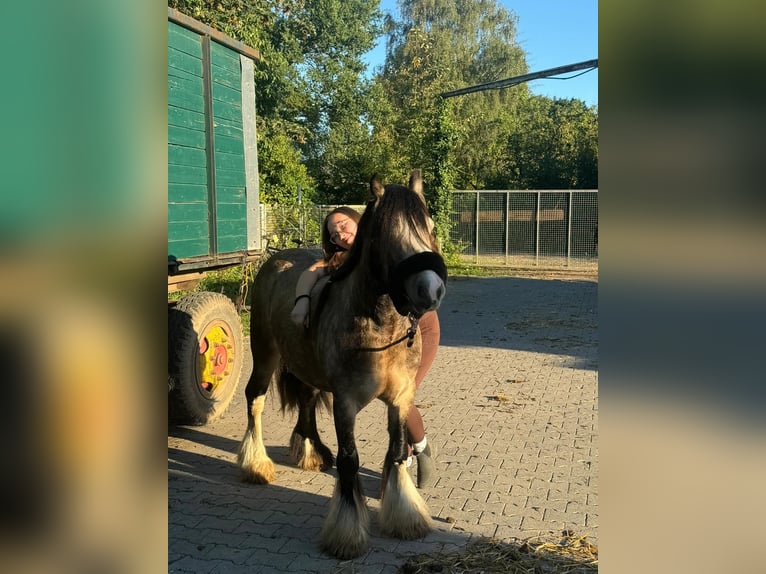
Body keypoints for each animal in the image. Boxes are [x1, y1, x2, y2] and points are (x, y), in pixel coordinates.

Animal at [237, 170, 448, 560]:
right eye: (385, 235)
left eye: (429, 226)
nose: (431, 290)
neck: (380, 328)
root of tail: (276, 259)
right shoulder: (346, 404)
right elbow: (350, 459)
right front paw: (346, 534)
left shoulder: (400, 399)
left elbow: (397, 449)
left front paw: (404, 515)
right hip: (265, 353)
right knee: (254, 399)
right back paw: (255, 463)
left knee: (306, 398)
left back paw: (311, 452)